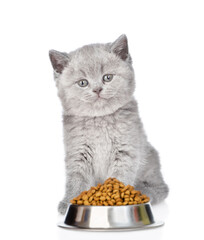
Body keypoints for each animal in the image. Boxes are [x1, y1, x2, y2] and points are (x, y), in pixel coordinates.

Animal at [48, 34, 168, 215]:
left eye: (107, 77)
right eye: (83, 83)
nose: (97, 89)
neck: (100, 120)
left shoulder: (125, 152)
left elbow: (118, 179)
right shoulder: (78, 153)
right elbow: (75, 179)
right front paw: (69, 202)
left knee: (162, 188)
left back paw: (145, 192)